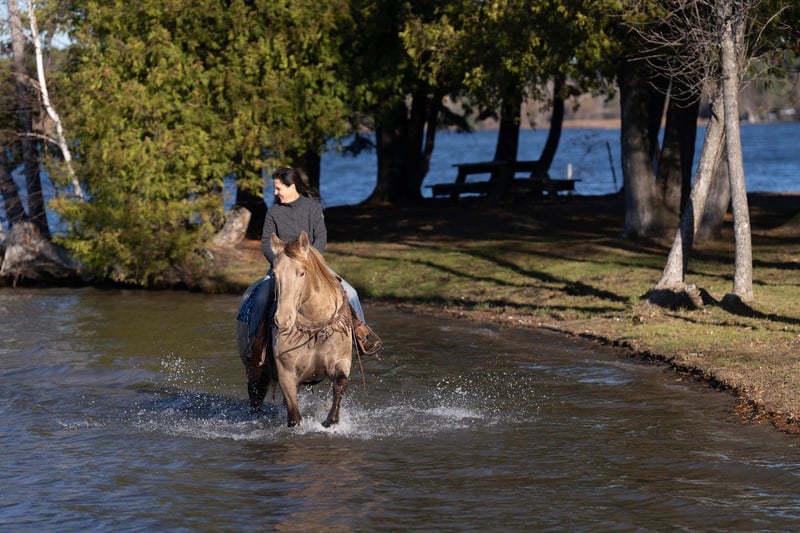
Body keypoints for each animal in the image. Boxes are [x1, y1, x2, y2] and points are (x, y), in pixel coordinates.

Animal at [237, 231, 353, 427]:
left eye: (302, 273)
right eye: (275, 274)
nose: (283, 319)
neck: (315, 326)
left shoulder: (341, 361)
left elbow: (340, 383)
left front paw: (331, 421)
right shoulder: (287, 374)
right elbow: (294, 415)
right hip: (254, 369)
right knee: (255, 394)